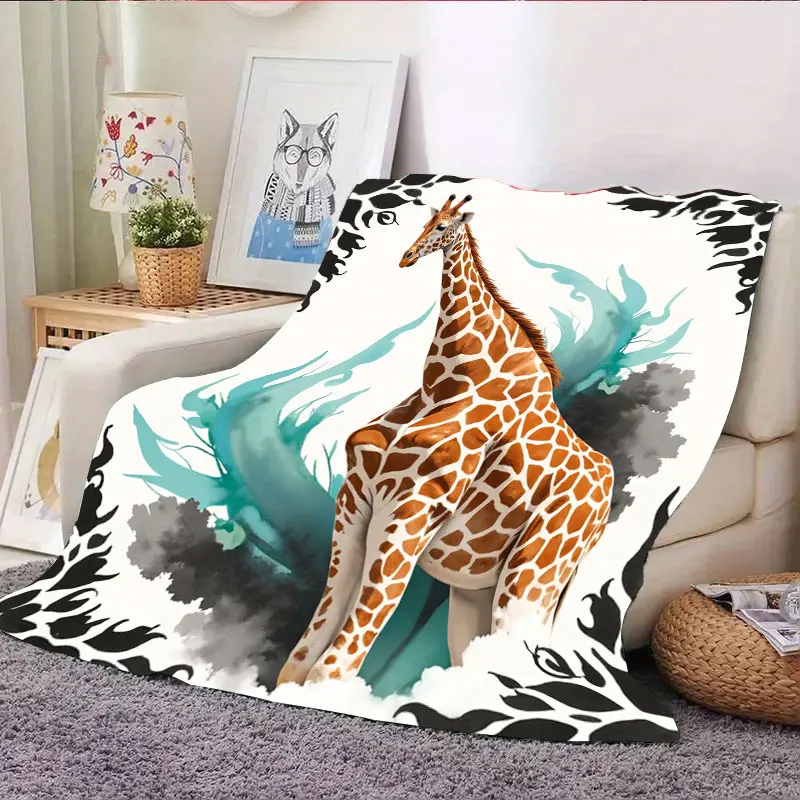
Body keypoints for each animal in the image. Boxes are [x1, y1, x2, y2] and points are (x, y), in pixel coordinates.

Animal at [276, 194, 613, 686]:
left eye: (443, 228)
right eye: (427, 221)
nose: (406, 256)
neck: (447, 383)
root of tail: (605, 507)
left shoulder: (412, 507)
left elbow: (335, 665)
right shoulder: (356, 498)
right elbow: (303, 656)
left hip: (533, 577)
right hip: (479, 591)